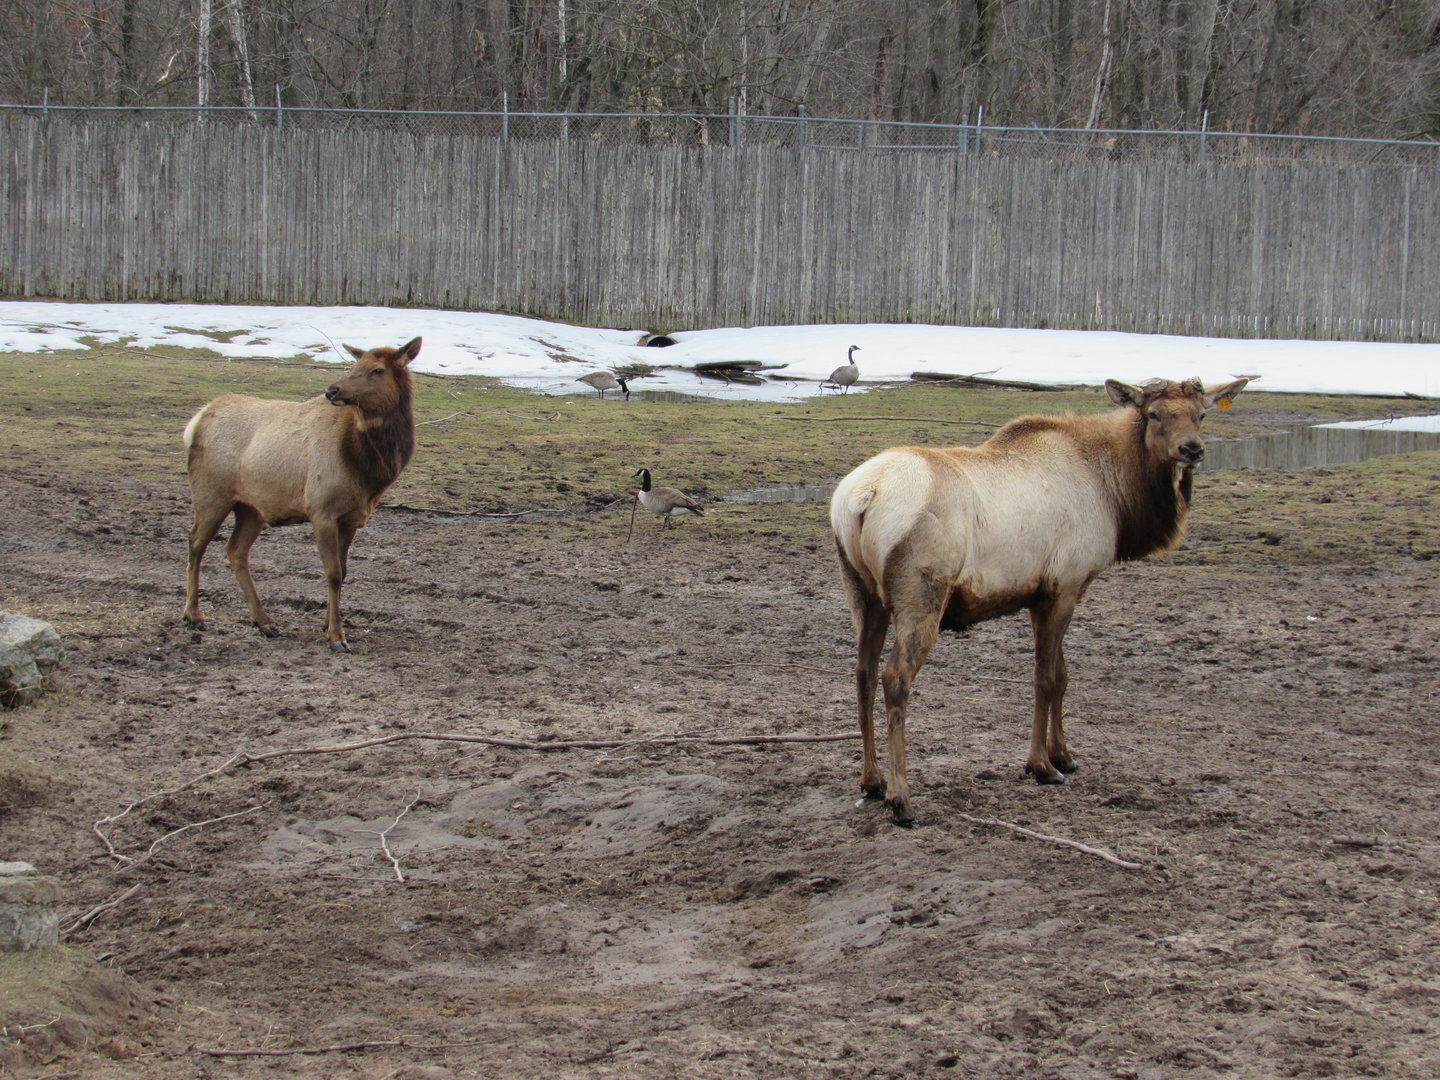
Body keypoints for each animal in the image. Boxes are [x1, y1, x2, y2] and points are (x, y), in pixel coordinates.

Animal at [181, 337, 422, 652]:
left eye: (377, 370)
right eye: (354, 365)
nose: (332, 390)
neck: (365, 469)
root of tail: (197, 419)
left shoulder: (350, 518)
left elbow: (344, 572)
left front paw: (329, 624)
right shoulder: (322, 509)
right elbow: (333, 573)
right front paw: (336, 636)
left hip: (252, 507)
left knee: (235, 549)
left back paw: (263, 620)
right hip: (211, 492)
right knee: (195, 543)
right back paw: (193, 615)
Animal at [830, 376, 1249, 824]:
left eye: (1200, 414)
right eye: (1153, 414)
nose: (1192, 449)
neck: (1116, 496)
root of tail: (862, 497)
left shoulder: (1040, 594)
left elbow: (1061, 675)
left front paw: (1064, 755)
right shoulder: (1066, 583)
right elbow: (1045, 678)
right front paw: (1042, 766)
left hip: (862, 593)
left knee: (863, 672)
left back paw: (872, 780)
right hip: (921, 593)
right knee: (896, 678)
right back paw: (901, 798)